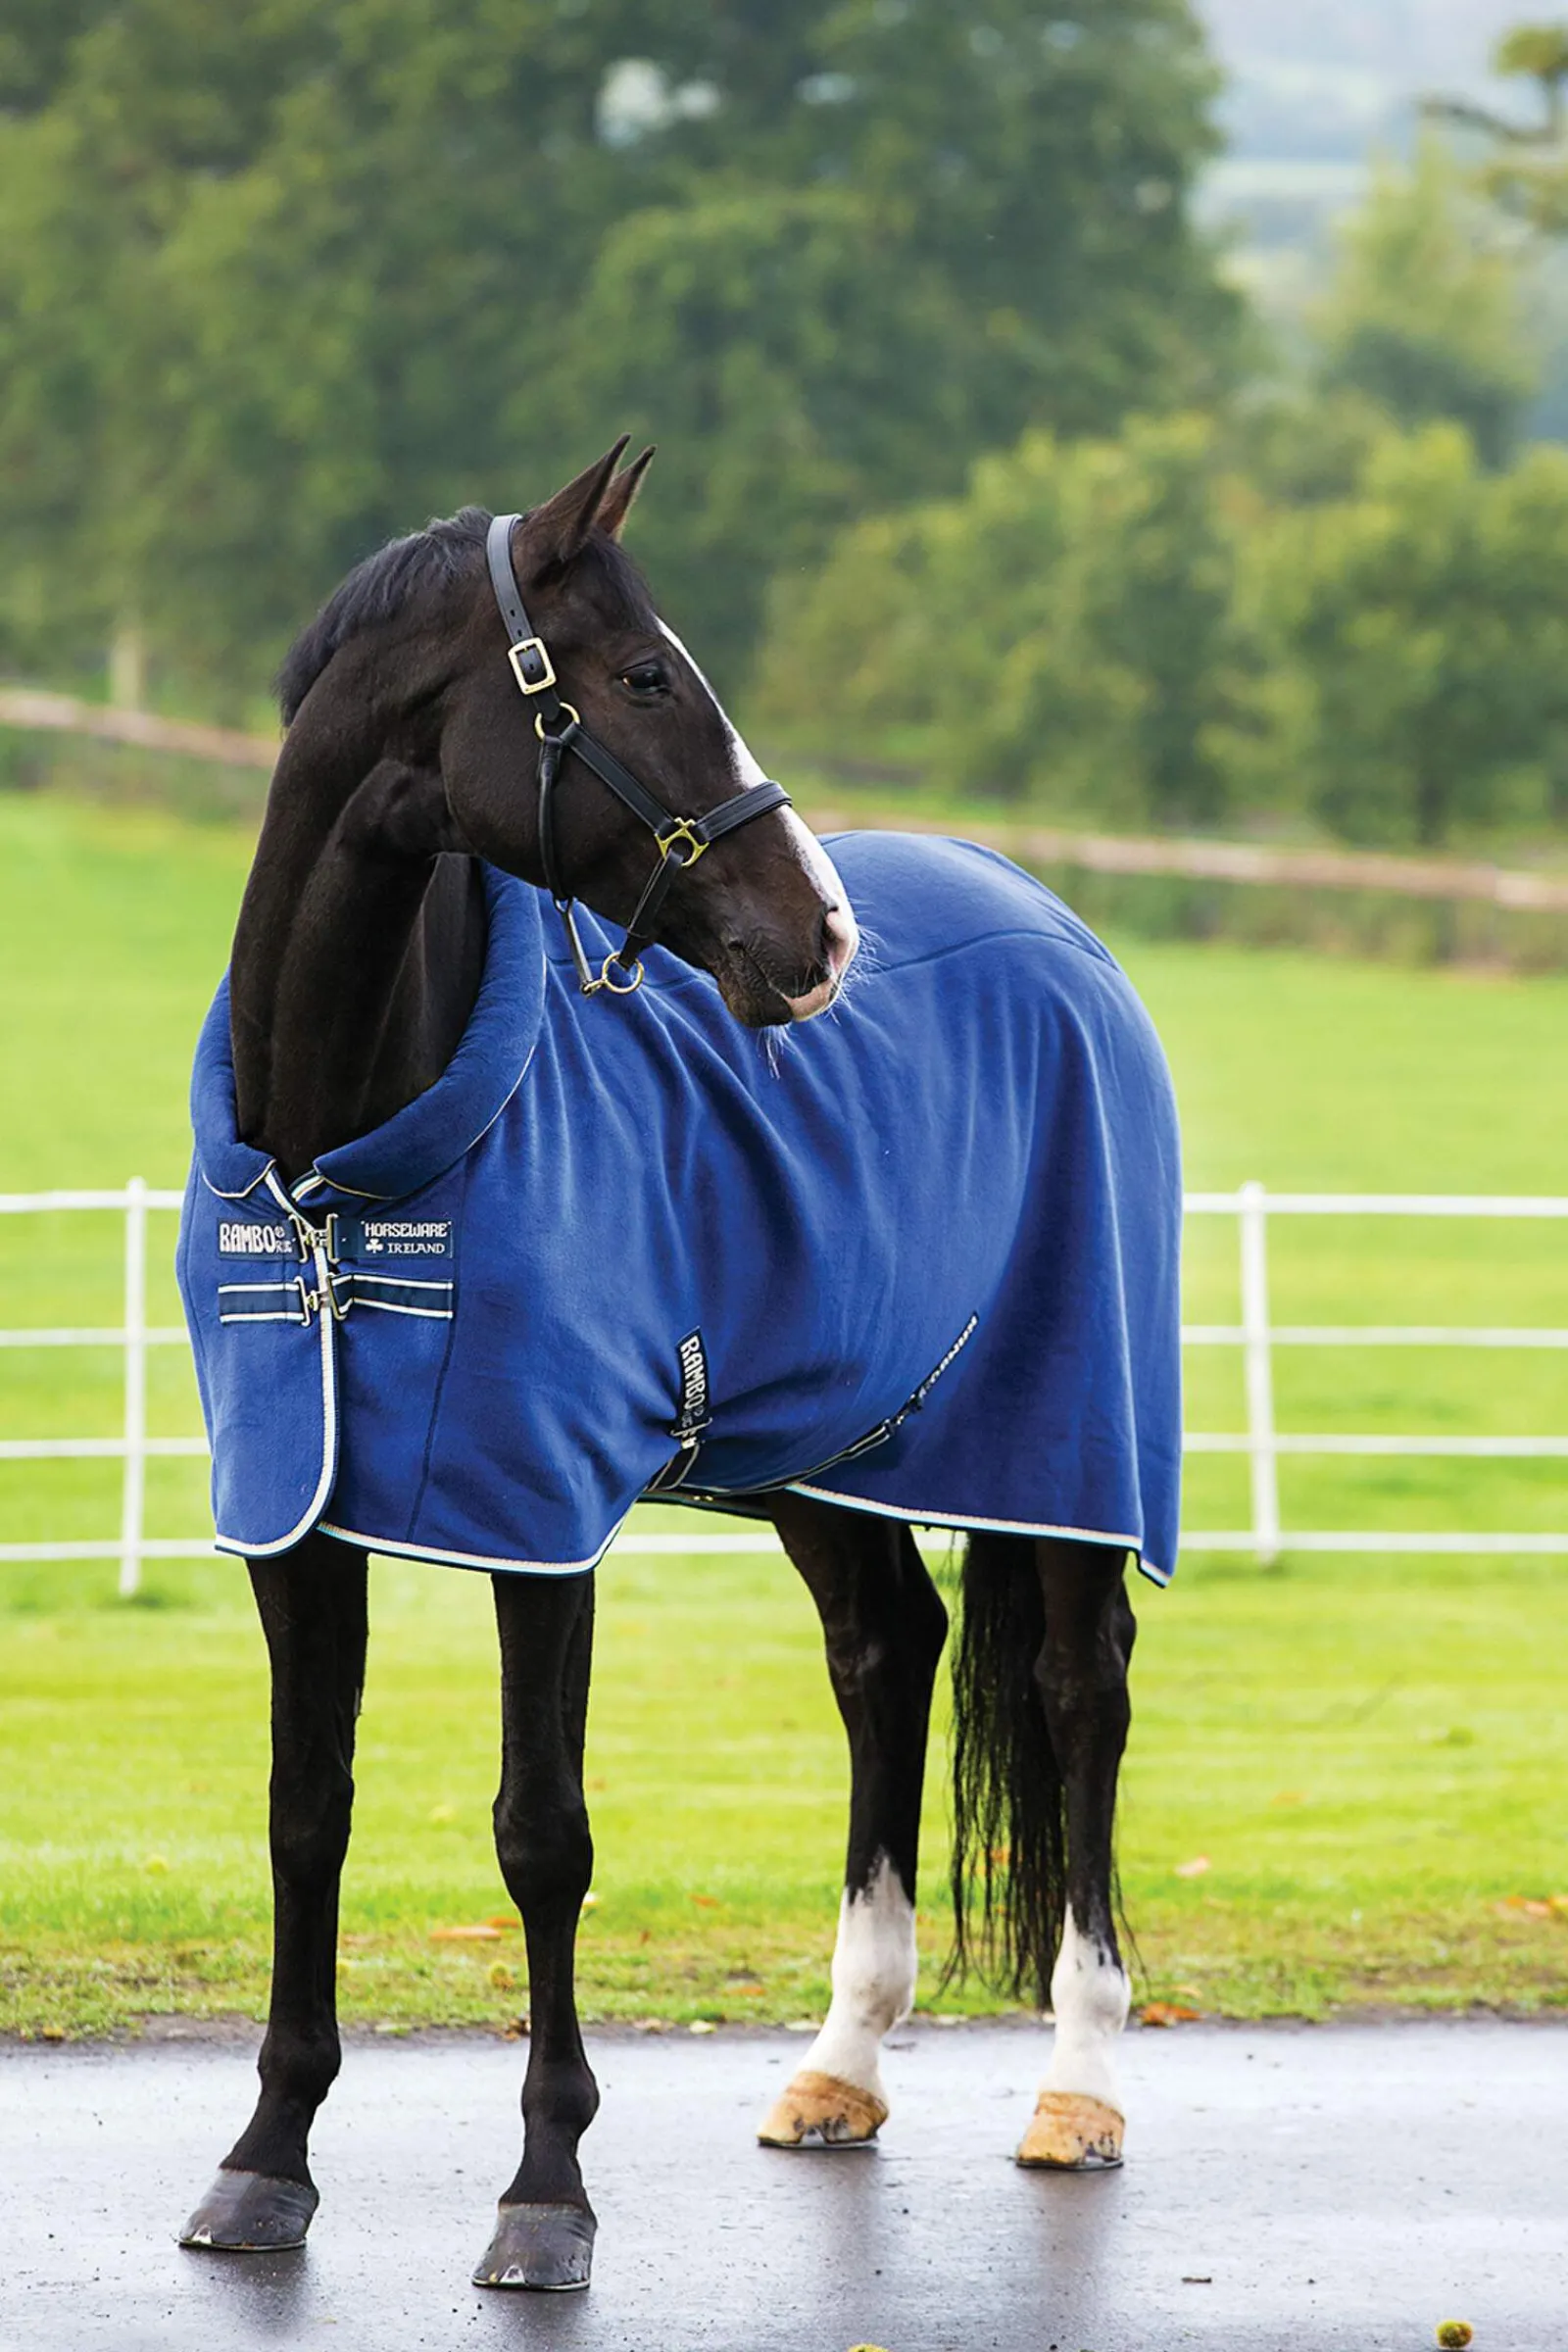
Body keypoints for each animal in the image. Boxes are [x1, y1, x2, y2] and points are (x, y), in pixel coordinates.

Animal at [174, 439, 1181, 2292]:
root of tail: (1055, 923)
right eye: (644, 676)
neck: (348, 1162)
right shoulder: (299, 1522)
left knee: (1082, 1696)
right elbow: (304, 1809)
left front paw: (545, 2197)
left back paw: (1080, 2087)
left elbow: (542, 1834)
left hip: (1074, 1449)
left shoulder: (539, 1523)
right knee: (886, 1655)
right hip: (833, 1452)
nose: (823, 936)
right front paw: (265, 2165)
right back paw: (842, 2064)